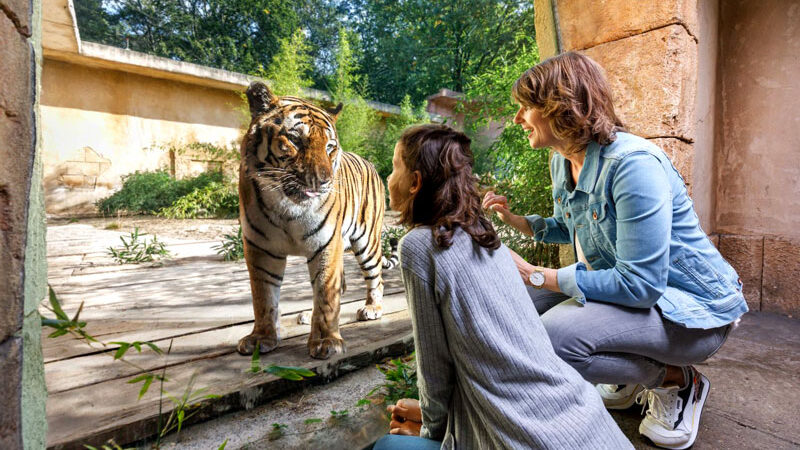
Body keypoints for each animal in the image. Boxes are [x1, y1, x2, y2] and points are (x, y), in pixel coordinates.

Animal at [238, 81, 400, 362]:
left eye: (329, 146)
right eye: (294, 139)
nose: (323, 181)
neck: (286, 207)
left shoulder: (326, 245)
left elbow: (326, 293)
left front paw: (326, 341)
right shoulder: (260, 247)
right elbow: (263, 297)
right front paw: (261, 338)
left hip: (367, 241)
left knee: (375, 278)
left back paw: (372, 308)